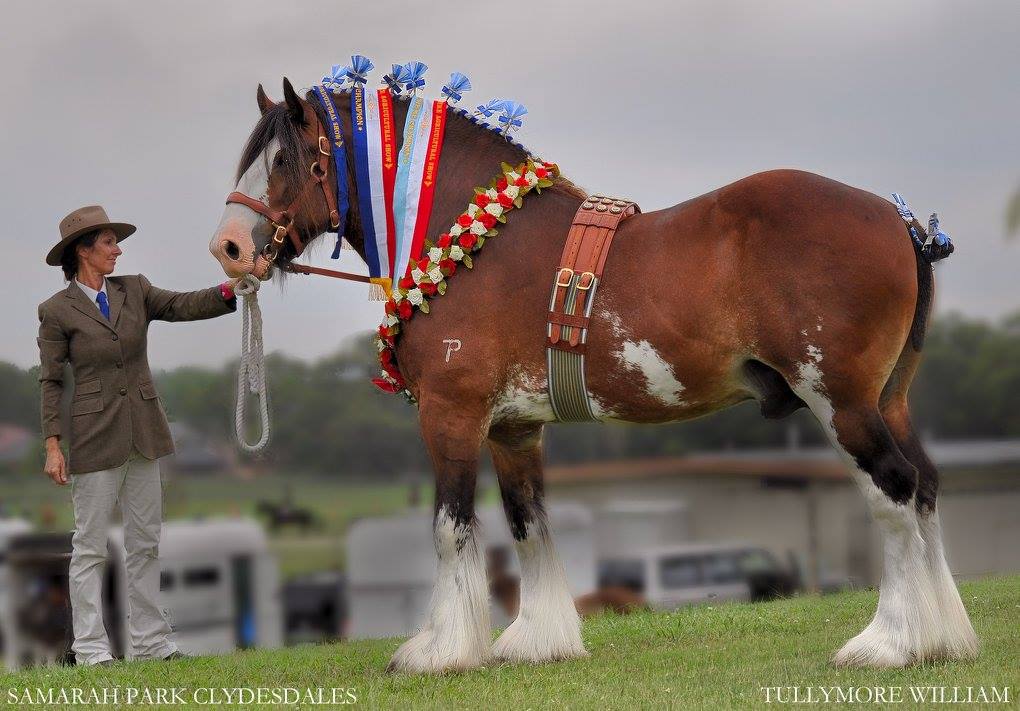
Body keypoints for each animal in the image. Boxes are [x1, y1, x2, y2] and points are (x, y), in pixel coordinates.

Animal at [209, 80, 979, 673]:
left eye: (283, 158)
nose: (228, 247)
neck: (473, 243)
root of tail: (898, 219)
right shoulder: (514, 430)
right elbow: (528, 525)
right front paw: (539, 640)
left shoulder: (452, 415)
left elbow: (451, 528)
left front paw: (441, 650)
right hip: (890, 400)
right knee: (926, 487)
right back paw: (944, 637)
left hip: (841, 403)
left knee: (894, 492)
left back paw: (889, 642)